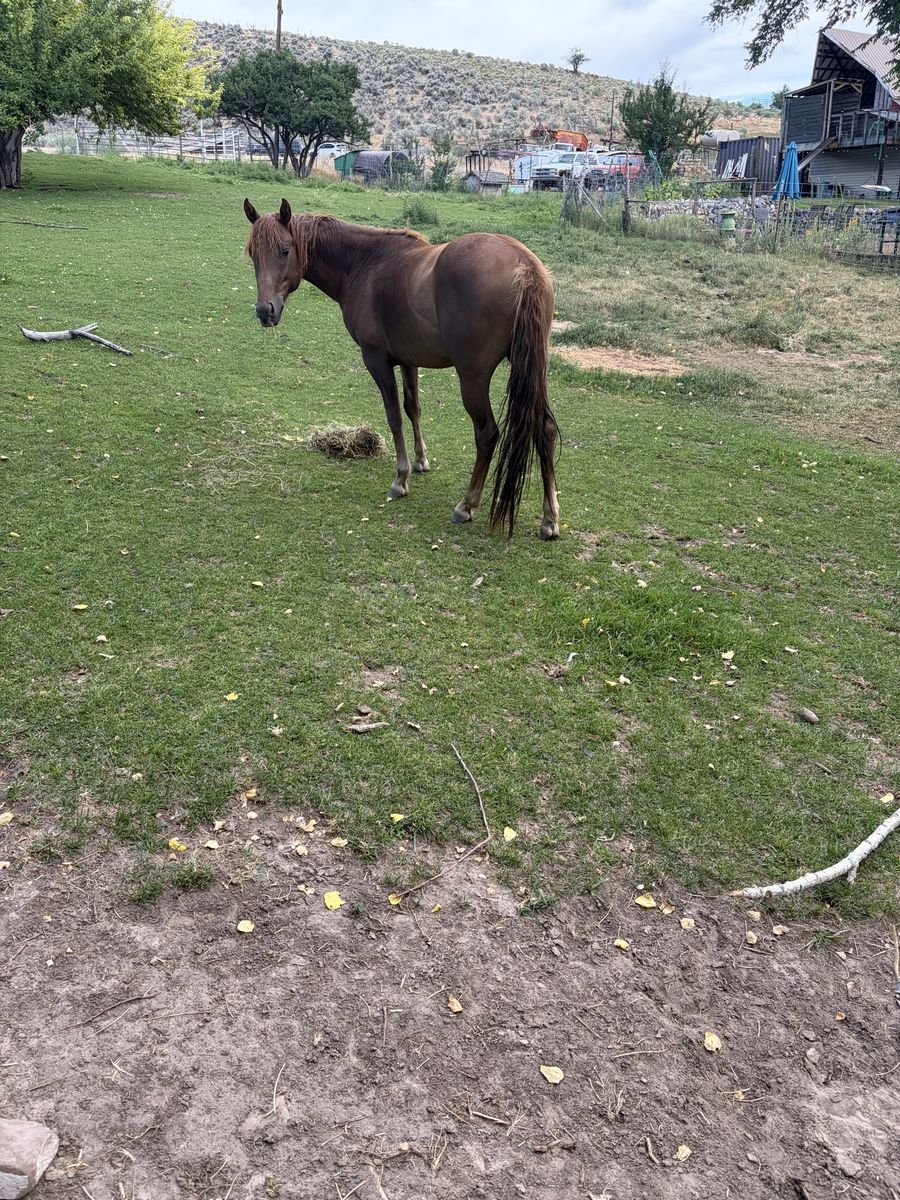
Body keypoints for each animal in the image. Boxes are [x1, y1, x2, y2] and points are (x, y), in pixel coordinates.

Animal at [242, 198, 560, 539]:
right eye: (253, 254)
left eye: (285, 250)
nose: (264, 311)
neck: (364, 264)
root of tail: (524, 265)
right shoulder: (409, 360)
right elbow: (413, 408)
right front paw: (421, 462)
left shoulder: (377, 360)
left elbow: (394, 416)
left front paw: (401, 478)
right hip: (533, 370)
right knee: (545, 429)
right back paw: (549, 519)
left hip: (473, 379)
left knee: (487, 434)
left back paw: (466, 505)